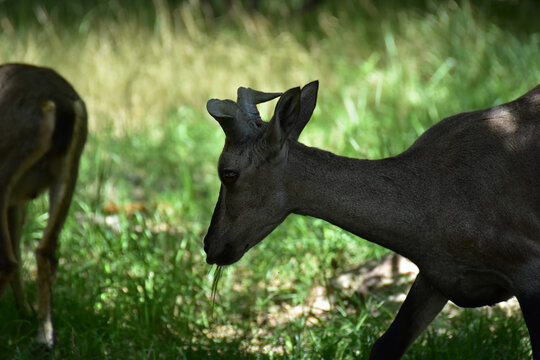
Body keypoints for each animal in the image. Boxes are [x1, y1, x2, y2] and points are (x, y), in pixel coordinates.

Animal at [0, 63, 87, 348]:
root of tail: (58, 103)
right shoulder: (18, 202)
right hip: (68, 169)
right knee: (45, 251)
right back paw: (45, 336)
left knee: (8, 260)